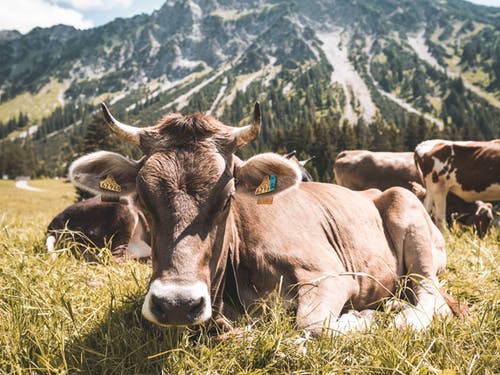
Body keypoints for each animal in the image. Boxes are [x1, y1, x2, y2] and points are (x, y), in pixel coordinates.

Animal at [68, 103, 466, 338]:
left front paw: (361, 318)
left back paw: (400, 314)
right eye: (143, 199)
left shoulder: (330, 274)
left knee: (432, 297)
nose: (177, 304)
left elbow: (312, 324)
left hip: (407, 213)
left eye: (226, 199)